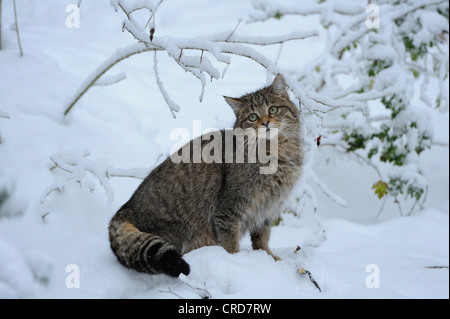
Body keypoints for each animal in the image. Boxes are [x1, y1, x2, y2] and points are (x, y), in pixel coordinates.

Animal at [107, 75, 304, 278]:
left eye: (273, 109)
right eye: (252, 117)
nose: (265, 123)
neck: (277, 153)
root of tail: (126, 207)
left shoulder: (267, 209)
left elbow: (262, 239)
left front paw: (268, 258)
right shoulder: (228, 211)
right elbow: (231, 244)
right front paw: (237, 263)